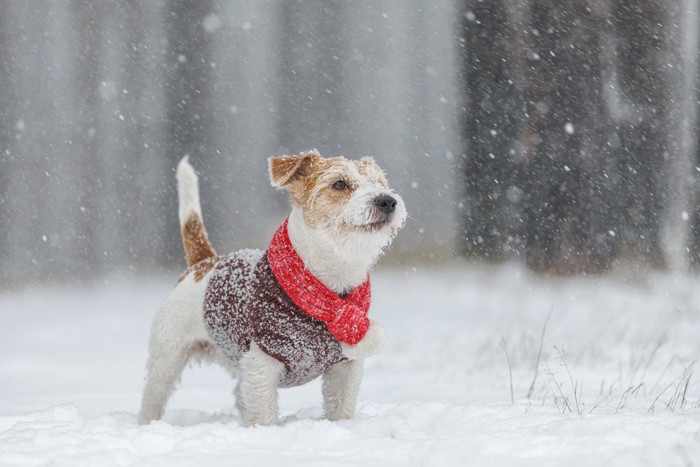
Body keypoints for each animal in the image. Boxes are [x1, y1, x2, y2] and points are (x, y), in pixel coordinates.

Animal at [137, 151, 408, 428]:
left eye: (380, 182)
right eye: (340, 184)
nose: (387, 201)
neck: (329, 288)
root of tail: (204, 263)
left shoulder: (345, 365)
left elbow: (341, 407)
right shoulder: (262, 360)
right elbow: (264, 413)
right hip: (168, 354)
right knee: (154, 396)